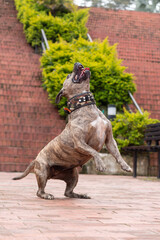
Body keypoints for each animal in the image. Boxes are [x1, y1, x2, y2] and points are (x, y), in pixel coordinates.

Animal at [13, 62, 132, 200]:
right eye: (68, 75)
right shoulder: (80, 142)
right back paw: (46, 195)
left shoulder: (109, 139)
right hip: (43, 171)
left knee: (68, 192)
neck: (86, 105)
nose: (77, 63)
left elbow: (117, 153)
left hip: (74, 175)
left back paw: (80, 195)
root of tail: (36, 160)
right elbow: (94, 151)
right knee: (39, 191)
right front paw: (100, 164)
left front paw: (125, 166)